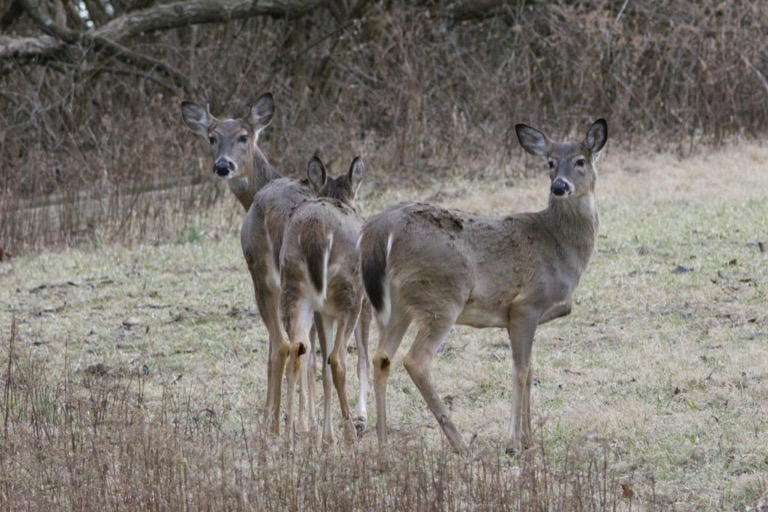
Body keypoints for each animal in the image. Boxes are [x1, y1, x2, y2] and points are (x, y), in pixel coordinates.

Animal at [280, 156, 368, 448]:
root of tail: (315, 232)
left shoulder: (322, 313)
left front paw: (327, 437)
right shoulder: (363, 304)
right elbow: (358, 359)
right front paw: (357, 422)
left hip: (295, 291)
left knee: (295, 353)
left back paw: (289, 440)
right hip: (350, 296)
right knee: (338, 359)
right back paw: (350, 434)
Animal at [356, 117, 608, 452]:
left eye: (580, 161)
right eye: (551, 163)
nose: (559, 186)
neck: (559, 246)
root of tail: (378, 231)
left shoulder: (524, 317)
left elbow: (530, 369)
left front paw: (529, 438)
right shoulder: (526, 305)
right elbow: (520, 371)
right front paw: (514, 440)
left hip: (396, 306)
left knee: (381, 357)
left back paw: (384, 446)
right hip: (441, 293)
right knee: (416, 360)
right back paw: (460, 443)